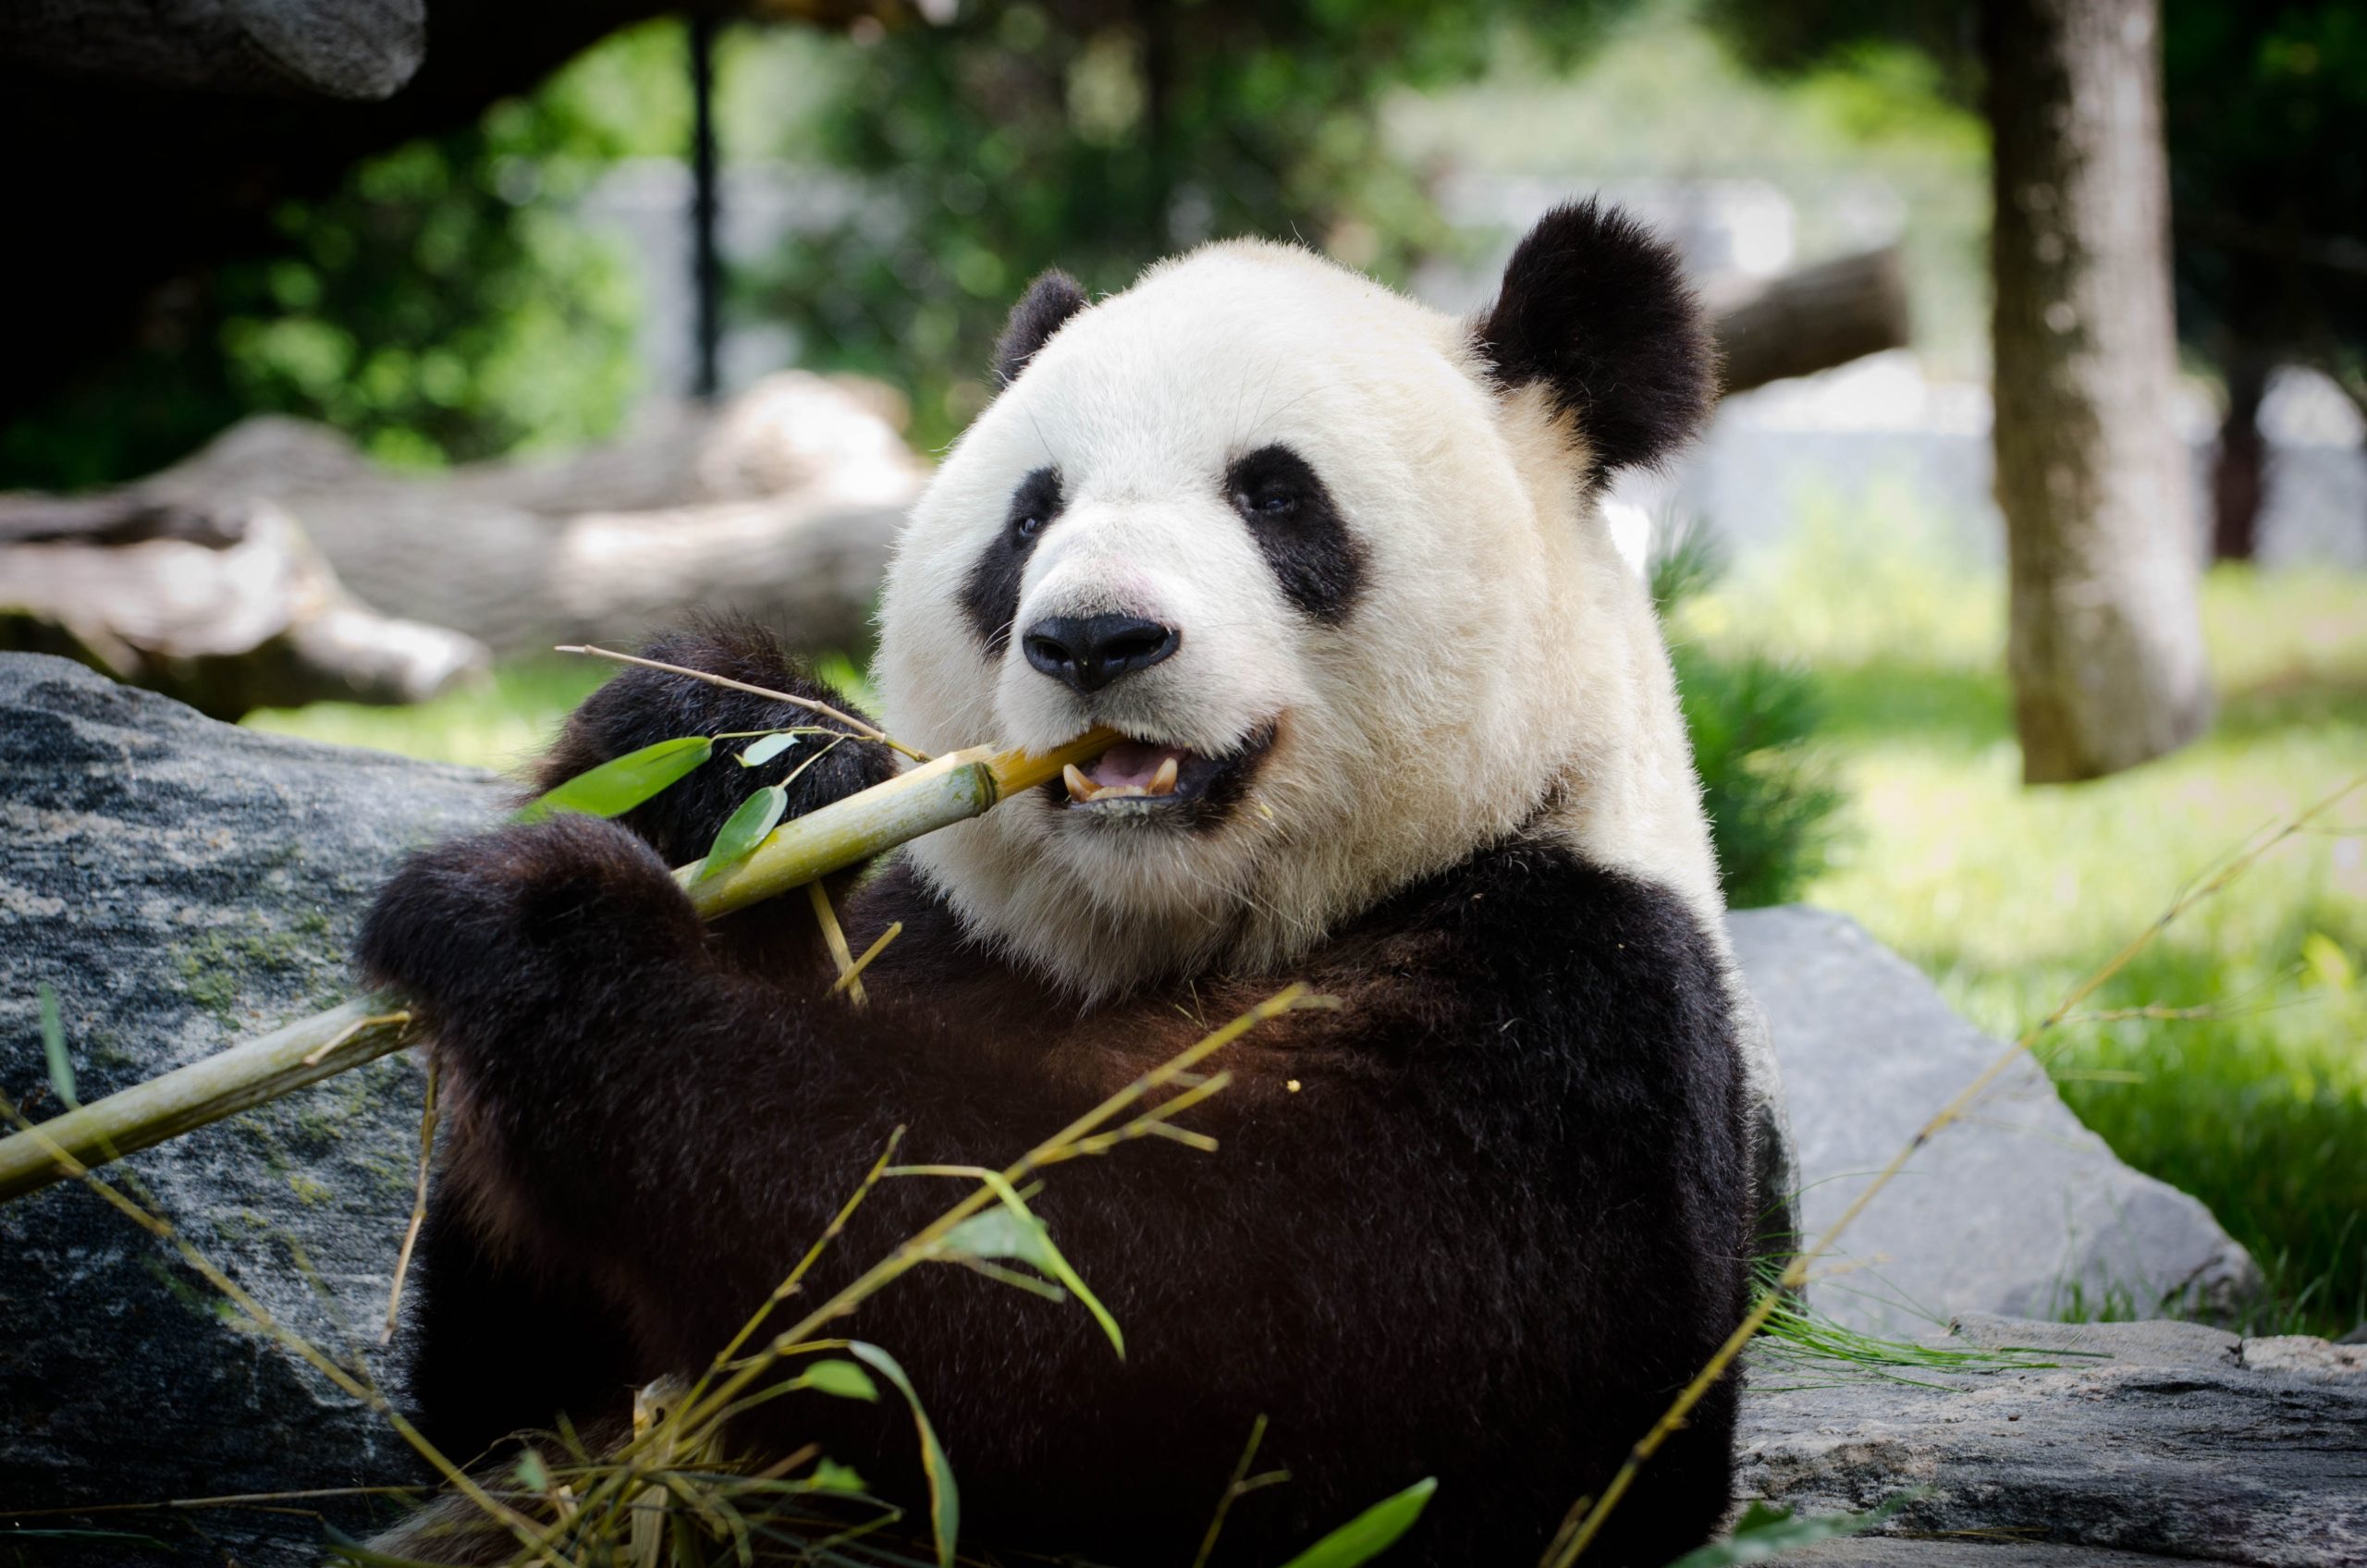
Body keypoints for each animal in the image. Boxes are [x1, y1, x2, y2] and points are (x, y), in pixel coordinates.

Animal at [358, 199, 1777, 1567]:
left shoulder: (1568, 1014)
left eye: (1276, 497)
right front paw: (718, 751)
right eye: (1031, 515)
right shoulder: (944, 939)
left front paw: (542, 931)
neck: (1160, 932)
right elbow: (498, 1411)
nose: (1095, 638)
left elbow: (1170, 1327)